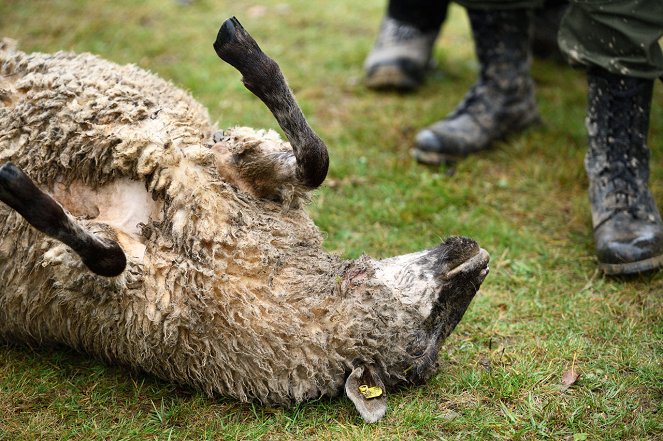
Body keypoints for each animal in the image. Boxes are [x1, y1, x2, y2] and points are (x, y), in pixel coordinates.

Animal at [0, 18, 488, 422]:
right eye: (435, 326)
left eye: (425, 342)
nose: (479, 256)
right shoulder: (230, 166)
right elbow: (315, 159)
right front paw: (244, 52)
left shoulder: (115, 285)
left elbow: (107, 257)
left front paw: (17, 187)